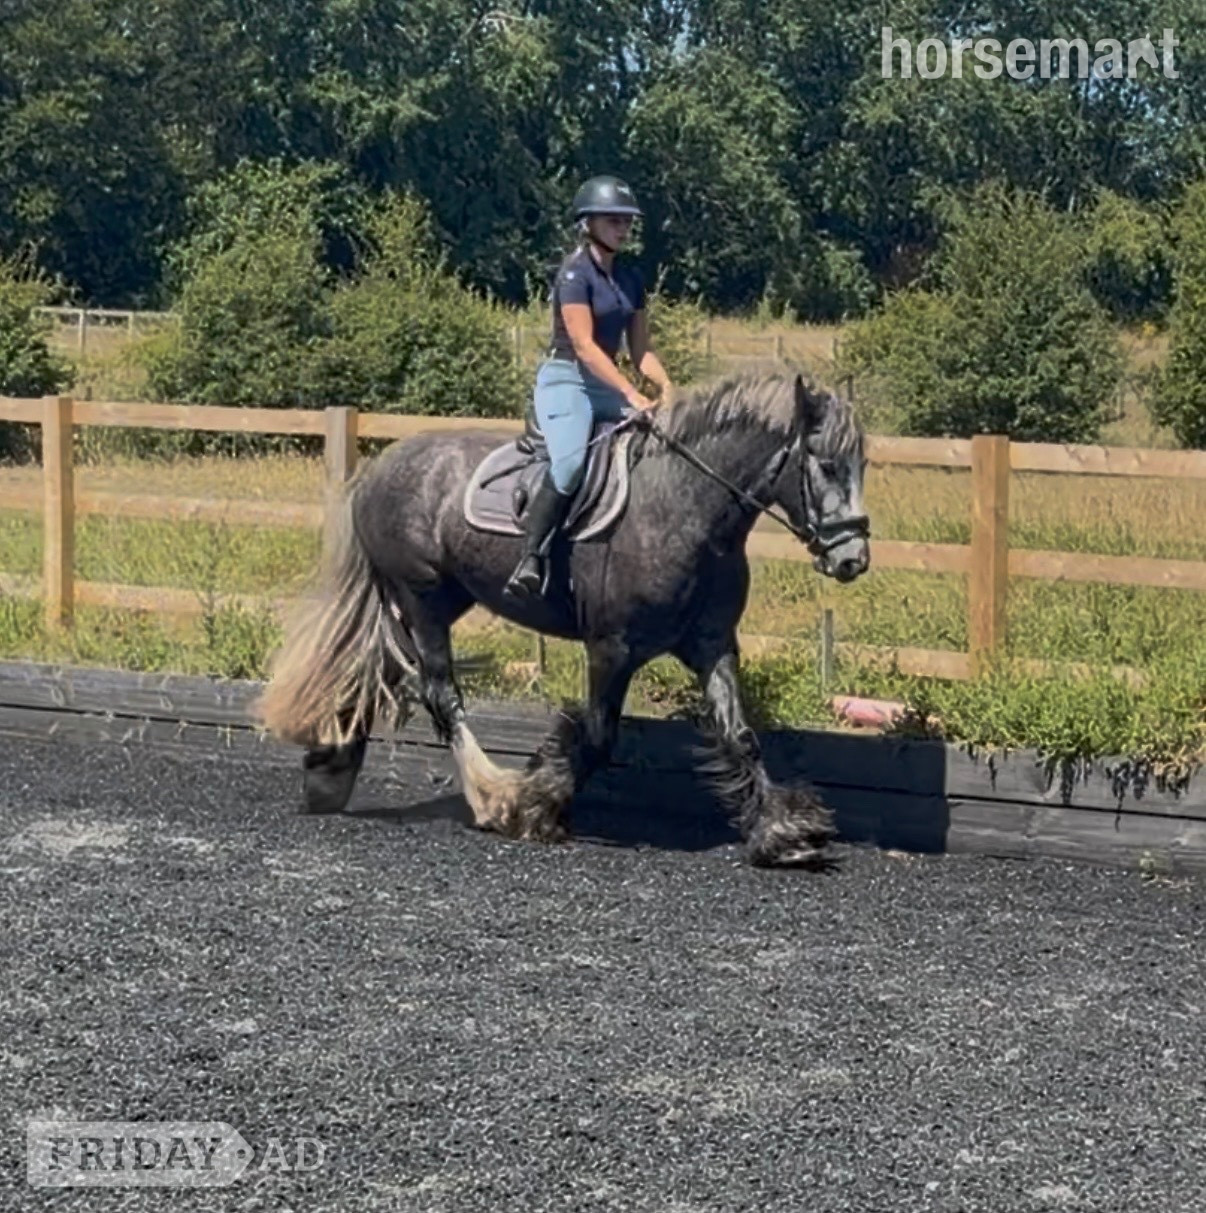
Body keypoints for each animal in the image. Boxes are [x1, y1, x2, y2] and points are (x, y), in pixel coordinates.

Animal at [254, 365, 871, 867]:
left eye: (862, 465)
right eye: (826, 465)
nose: (853, 559)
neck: (687, 509)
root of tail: (379, 468)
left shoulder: (712, 644)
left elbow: (740, 734)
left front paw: (785, 834)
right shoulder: (612, 648)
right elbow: (597, 737)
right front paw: (534, 804)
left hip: (444, 597)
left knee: (378, 671)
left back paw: (330, 769)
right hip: (420, 597)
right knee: (439, 694)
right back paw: (491, 797)